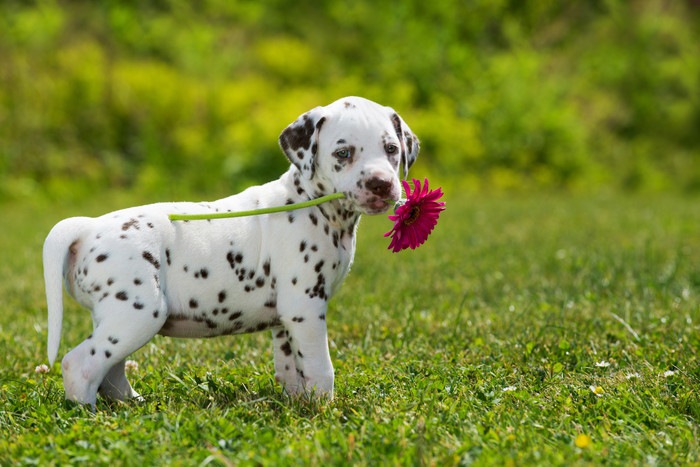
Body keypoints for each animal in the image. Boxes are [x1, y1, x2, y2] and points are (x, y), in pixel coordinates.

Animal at [43, 97, 418, 408]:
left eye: (391, 148)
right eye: (343, 154)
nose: (381, 184)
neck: (311, 203)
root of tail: (87, 227)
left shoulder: (286, 319)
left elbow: (291, 367)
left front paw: (298, 404)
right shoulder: (306, 309)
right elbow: (320, 369)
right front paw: (324, 411)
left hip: (117, 319)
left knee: (110, 369)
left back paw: (131, 404)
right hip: (137, 314)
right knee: (81, 364)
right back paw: (87, 413)